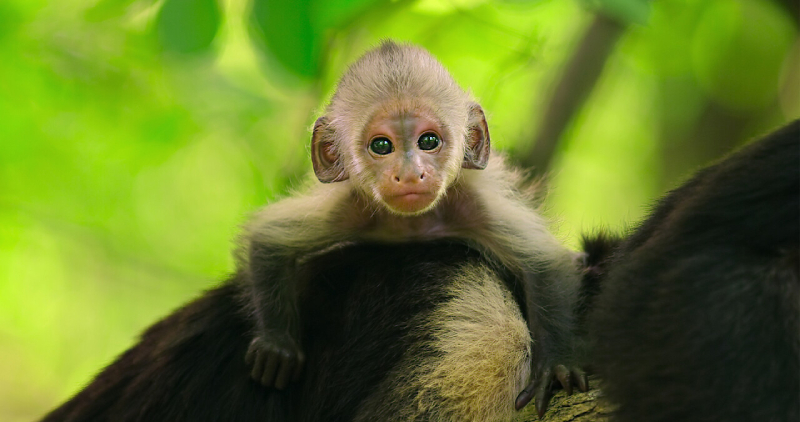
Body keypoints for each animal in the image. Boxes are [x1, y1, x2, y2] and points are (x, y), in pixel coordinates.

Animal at [241, 39, 584, 416]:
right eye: (381, 146)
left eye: (429, 141)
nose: (409, 173)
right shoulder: (346, 208)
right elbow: (269, 240)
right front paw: (277, 345)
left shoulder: (474, 204)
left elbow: (545, 262)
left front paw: (555, 365)